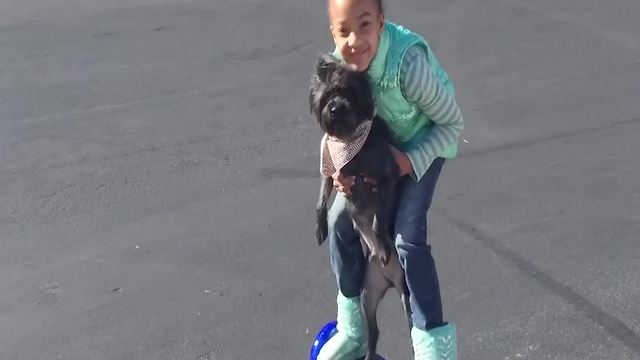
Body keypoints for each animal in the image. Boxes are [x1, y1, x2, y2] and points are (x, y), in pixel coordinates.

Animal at [310, 53, 416, 360]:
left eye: (348, 93)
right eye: (329, 95)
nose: (336, 109)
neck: (347, 141)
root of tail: (387, 279)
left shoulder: (386, 177)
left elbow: (379, 219)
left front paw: (381, 240)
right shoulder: (330, 172)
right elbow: (320, 201)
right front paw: (320, 230)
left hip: (406, 295)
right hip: (367, 298)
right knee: (373, 334)